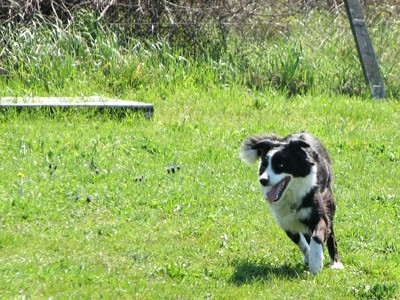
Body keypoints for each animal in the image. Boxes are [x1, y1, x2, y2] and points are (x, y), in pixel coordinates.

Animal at [241, 132, 344, 274]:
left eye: (281, 165)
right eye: (264, 166)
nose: (263, 180)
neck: (291, 195)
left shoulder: (319, 215)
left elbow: (317, 236)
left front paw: (316, 262)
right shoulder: (287, 222)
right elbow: (301, 243)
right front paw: (310, 257)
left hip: (329, 203)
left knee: (331, 234)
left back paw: (335, 262)